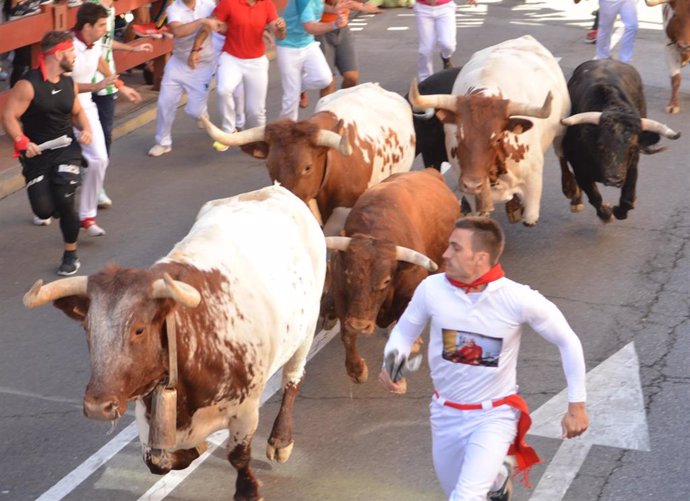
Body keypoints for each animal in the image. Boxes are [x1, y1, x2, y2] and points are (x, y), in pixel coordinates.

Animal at [23, 185, 326, 500]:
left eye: (139, 330)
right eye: (87, 327)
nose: (98, 406)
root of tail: (275, 190)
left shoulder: (245, 410)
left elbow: (238, 456)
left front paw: (248, 491)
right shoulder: (146, 410)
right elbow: (158, 461)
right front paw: (194, 450)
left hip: (307, 328)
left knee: (292, 380)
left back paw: (280, 441)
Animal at [322, 169, 456, 382]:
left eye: (386, 281)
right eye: (349, 276)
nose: (359, 325)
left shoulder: (409, 296)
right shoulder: (342, 294)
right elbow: (346, 334)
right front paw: (356, 370)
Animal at [406, 36, 568, 227]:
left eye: (497, 138)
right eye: (459, 136)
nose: (471, 185)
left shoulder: (532, 181)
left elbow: (529, 217)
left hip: (561, 131)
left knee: (561, 154)